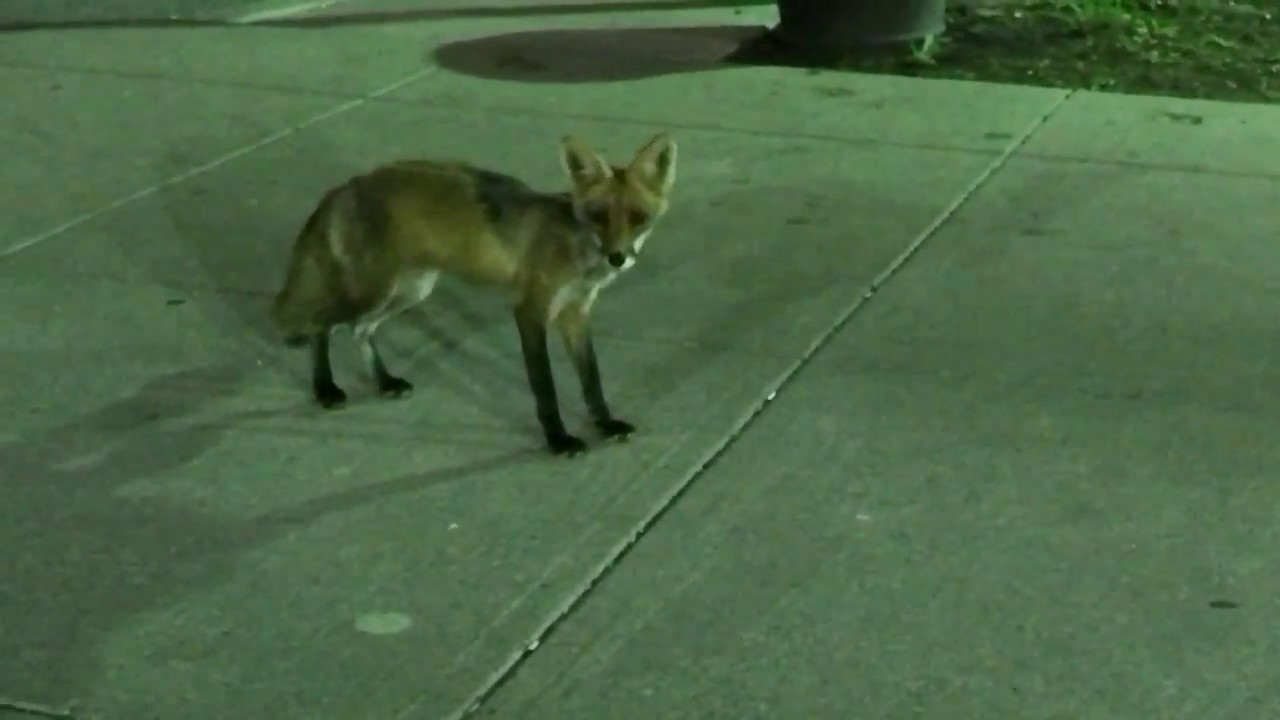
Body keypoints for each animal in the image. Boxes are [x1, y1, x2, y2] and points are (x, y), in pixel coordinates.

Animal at [269, 132, 678, 457]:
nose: (617, 257)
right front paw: (558, 439)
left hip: (410, 290)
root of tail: (345, 186)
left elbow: (592, 381)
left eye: (638, 217)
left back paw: (384, 382)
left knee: (360, 329)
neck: (574, 249)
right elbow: (545, 388)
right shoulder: (530, 312)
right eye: (599, 216)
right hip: (373, 291)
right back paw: (325, 389)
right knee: (321, 324)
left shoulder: (576, 315)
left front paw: (605, 424)